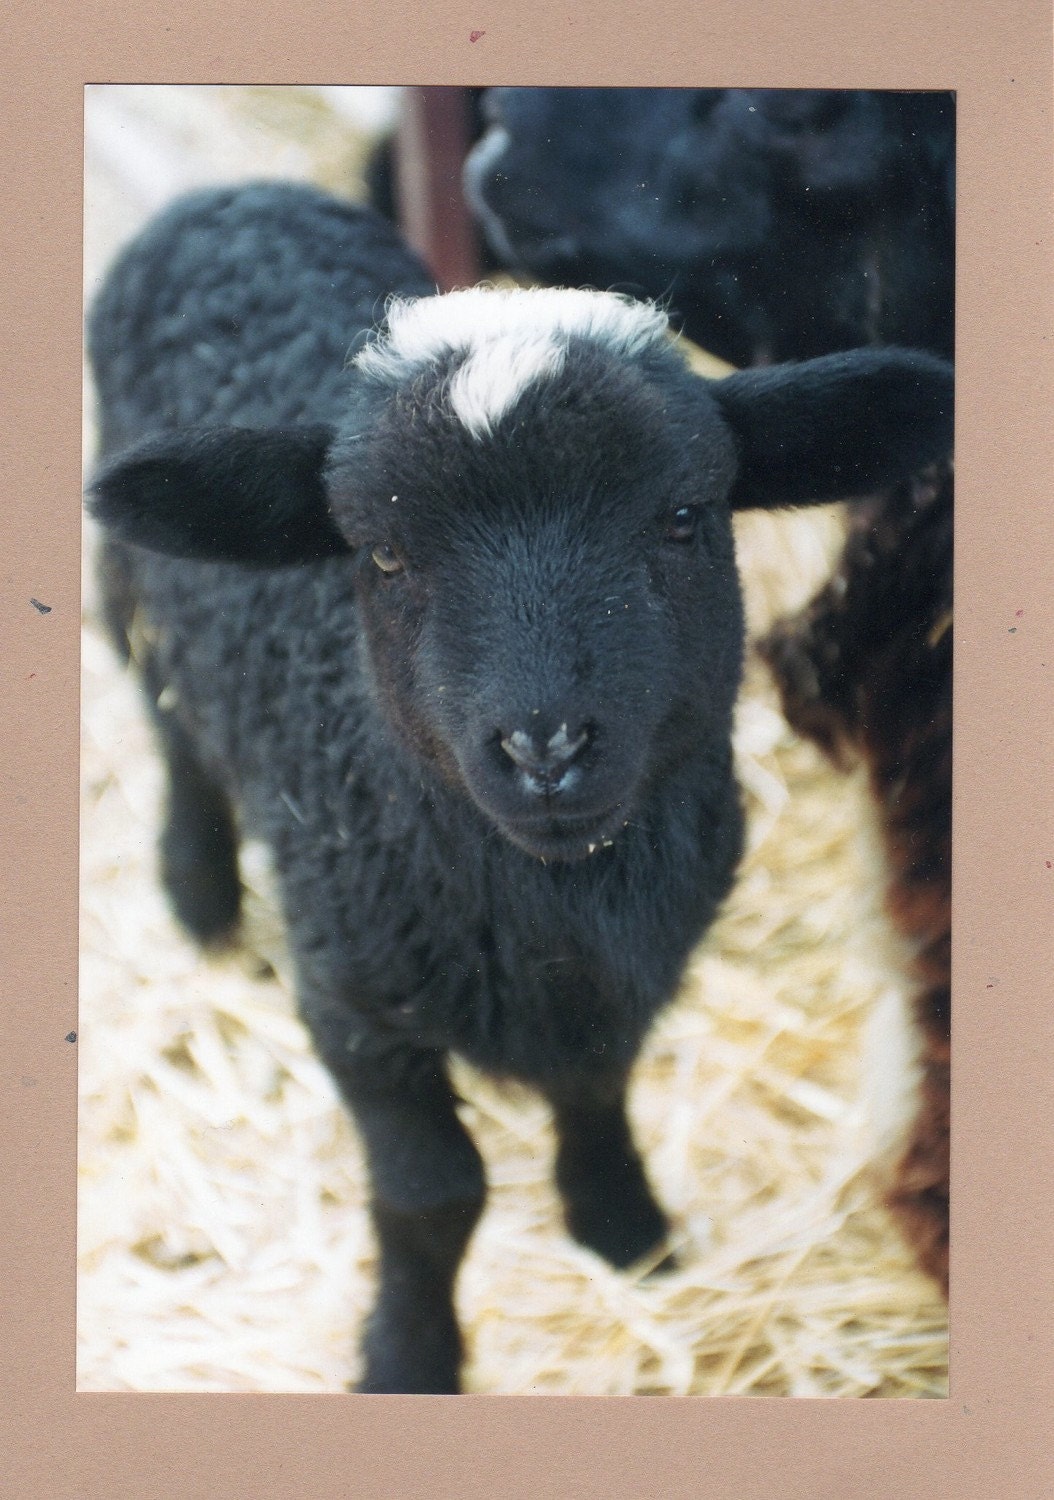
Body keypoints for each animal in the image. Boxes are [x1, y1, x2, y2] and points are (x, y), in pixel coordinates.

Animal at [85, 179, 954, 1392]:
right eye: (383, 555)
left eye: (684, 516)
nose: (546, 748)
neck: (548, 906)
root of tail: (232, 193)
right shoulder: (353, 1001)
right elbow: (431, 1198)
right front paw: (407, 1356)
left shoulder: (626, 977)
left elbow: (596, 1093)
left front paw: (624, 1227)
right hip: (135, 594)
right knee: (171, 717)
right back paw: (200, 896)